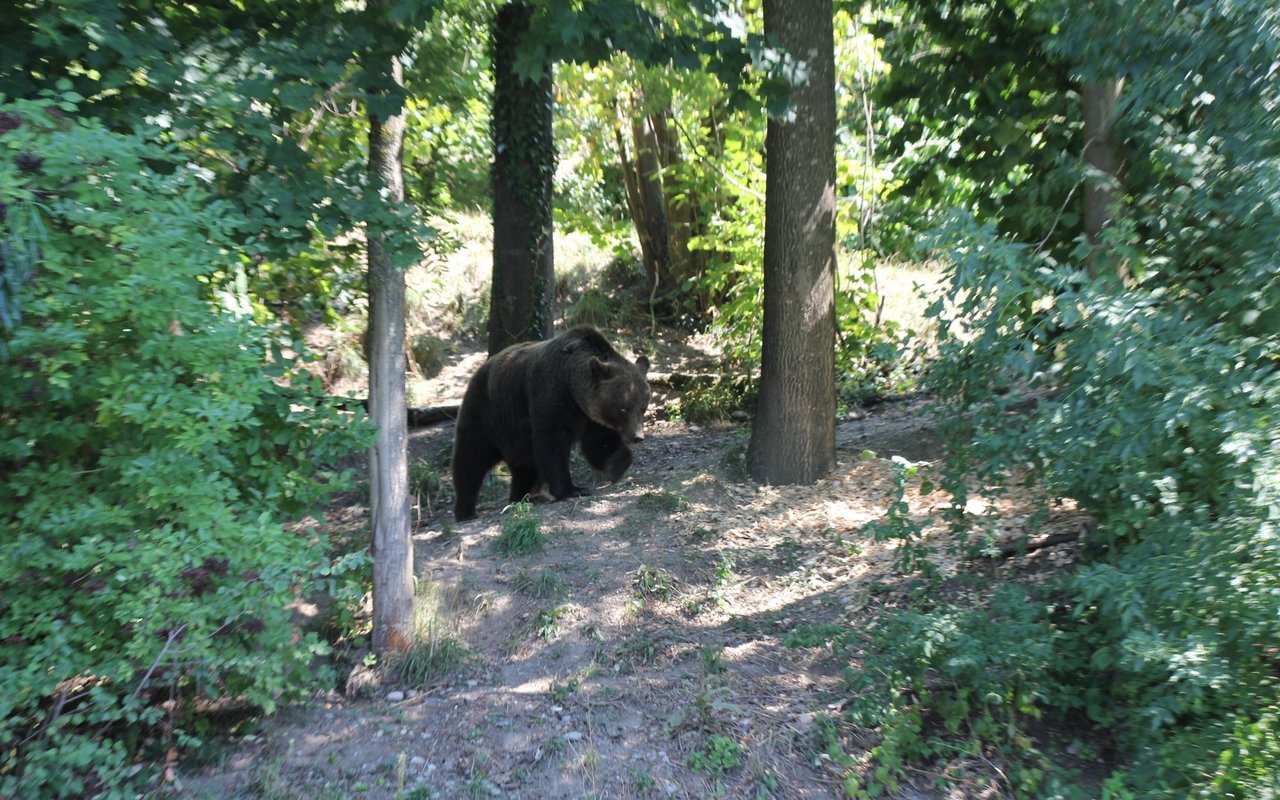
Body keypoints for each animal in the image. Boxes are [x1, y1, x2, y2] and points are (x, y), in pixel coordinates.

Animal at [450, 327, 650, 522]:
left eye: (642, 408)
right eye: (624, 408)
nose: (637, 437)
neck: (572, 386)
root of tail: (480, 369)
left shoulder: (591, 416)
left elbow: (599, 443)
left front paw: (616, 465)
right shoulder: (550, 393)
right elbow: (552, 443)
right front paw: (572, 489)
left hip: (515, 437)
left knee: (524, 468)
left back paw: (522, 498)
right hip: (485, 414)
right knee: (471, 458)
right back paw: (465, 511)